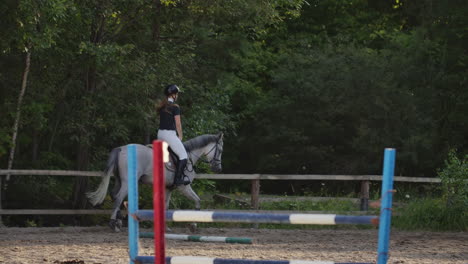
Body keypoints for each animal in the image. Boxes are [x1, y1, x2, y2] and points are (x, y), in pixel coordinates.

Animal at [87, 132, 224, 231]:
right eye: (220, 150)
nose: (218, 169)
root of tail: (121, 148)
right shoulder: (184, 187)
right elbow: (197, 201)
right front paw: (193, 225)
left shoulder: (168, 188)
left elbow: (166, 207)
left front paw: (166, 227)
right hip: (127, 182)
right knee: (119, 197)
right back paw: (113, 224)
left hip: (119, 180)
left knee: (114, 195)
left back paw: (119, 221)